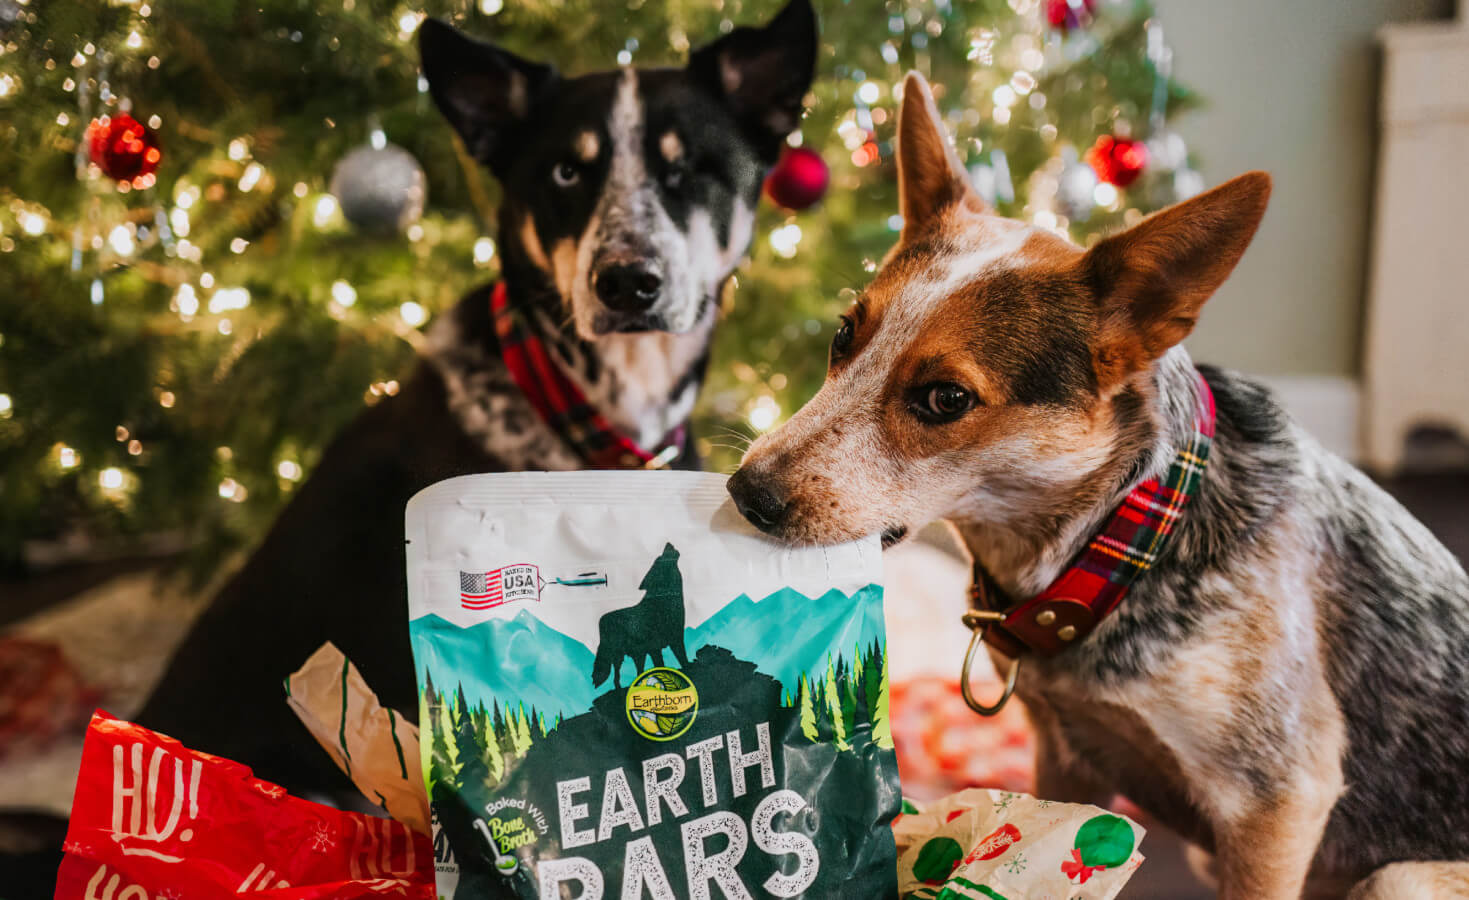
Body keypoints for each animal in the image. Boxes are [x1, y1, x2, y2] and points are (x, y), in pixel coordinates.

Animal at [728, 73, 1469, 892]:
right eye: (841, 336)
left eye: (945, 398)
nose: (744, 491)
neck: (1132, 539)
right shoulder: (1065, 756)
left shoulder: (1276, 803)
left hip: (1398, 874)